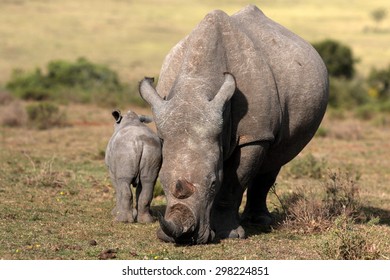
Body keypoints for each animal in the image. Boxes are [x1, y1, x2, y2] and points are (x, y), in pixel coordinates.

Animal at [139, 4, 328, 245]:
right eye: (161, 182)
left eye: (212, 183)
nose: (184, 237)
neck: (196, 85)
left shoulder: (254, 135)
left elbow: (232, 184)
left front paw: (229, 235)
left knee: (276, 157)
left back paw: (259, 222)